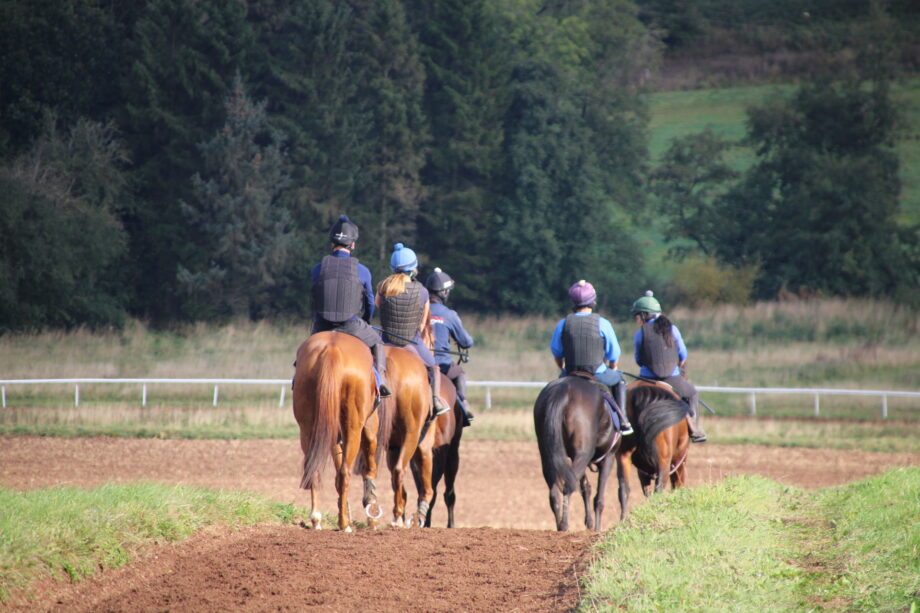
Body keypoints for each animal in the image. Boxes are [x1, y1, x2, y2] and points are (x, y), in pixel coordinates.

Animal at [294, 330, 380, 532]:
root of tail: (331, 349)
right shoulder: (370, 425)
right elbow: (369, 466)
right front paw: (371, 514)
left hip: (308, 428)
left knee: (314, 470)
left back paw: (316, 519)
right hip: (354, 427)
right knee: (344, 473)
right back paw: (344, 524)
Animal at [528, 372, 620, 532]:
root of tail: (562, 390)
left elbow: (585, 487)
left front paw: (589, 522)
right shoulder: (609, 457)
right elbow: (599, 498)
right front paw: (597, 528)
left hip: (548, 456)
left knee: (554, 493)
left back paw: (560, 525)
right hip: (583, 454)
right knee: (568, 486)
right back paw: (564, 524)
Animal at [620, 382, 688, 516]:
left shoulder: (642, 471)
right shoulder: (678, 460)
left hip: (624, 457)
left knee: (624, 489)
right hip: (665, 461)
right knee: (660, 487)